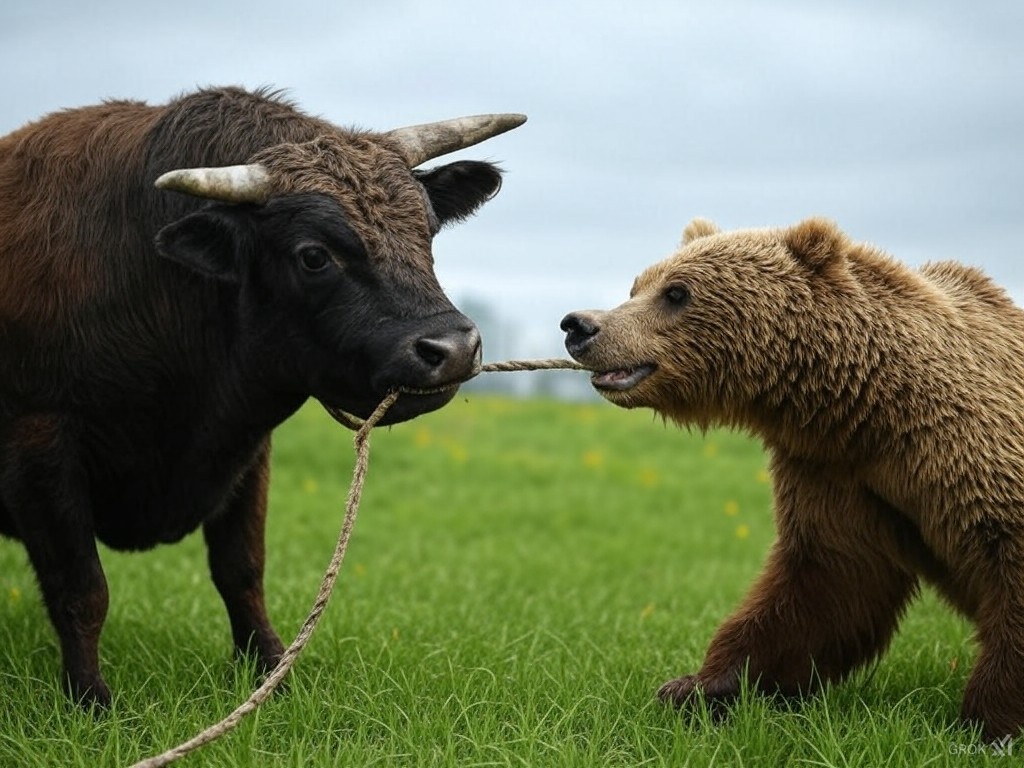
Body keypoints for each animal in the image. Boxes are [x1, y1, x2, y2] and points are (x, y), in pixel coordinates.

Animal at [0, 87, 528, 708]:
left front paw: (272, 673)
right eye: (314, 255)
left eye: (427, 227)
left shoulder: (246, 448)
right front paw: (90, 700)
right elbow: (82, 589)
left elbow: (242, 570)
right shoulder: (41, 445)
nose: (452, 347)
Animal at [561, 218, 1024, 745]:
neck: (872, 411)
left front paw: (987, 725)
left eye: (677, 292)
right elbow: (827, 581)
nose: (580, 325)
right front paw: (697, 687)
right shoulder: (834, 472)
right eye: (637, 286)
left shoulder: (962, 453)